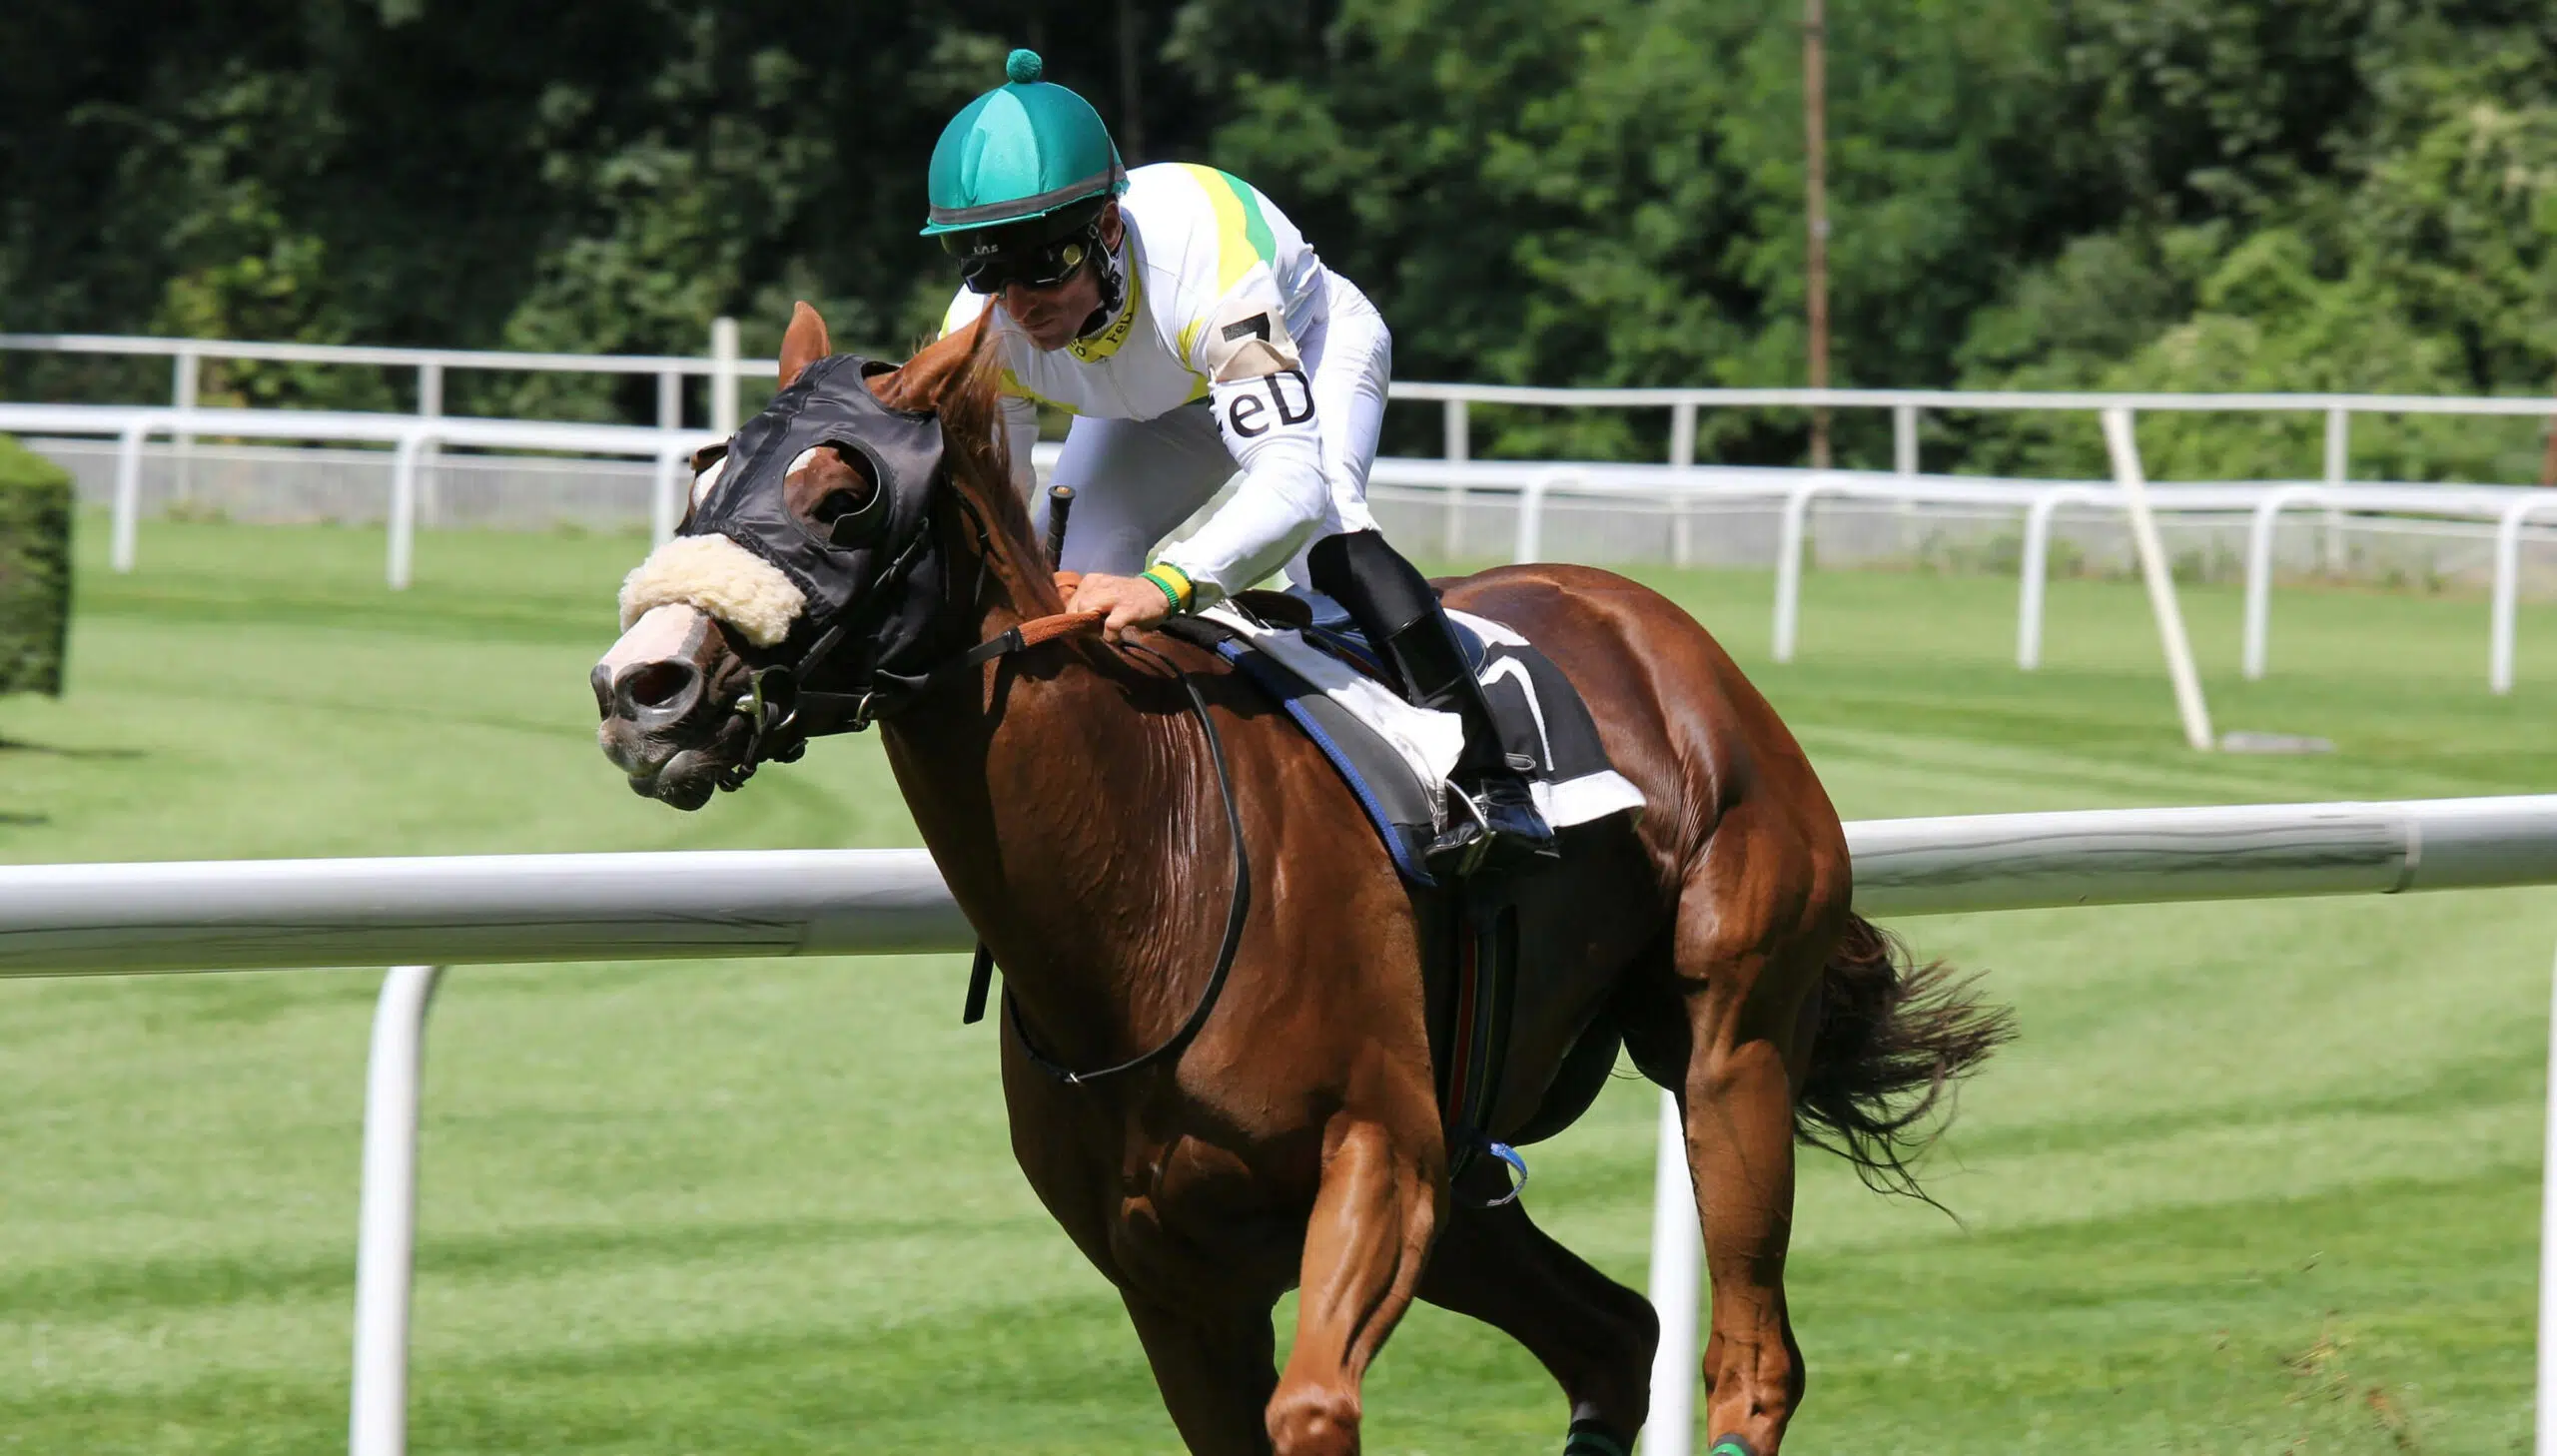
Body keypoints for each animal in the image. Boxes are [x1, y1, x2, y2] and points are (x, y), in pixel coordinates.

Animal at [590, 302, 2009, 1456]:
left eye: (844, 495)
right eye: (709, 473)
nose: (642, 688)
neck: (1148, 884)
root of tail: (1664, 631)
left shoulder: (1378, 1159)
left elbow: (1317, 1410)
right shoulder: (1173, 1278)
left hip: (1727, 1046)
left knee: (1750, 1360)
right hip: (1475, 1179)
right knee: (1616, 1336)